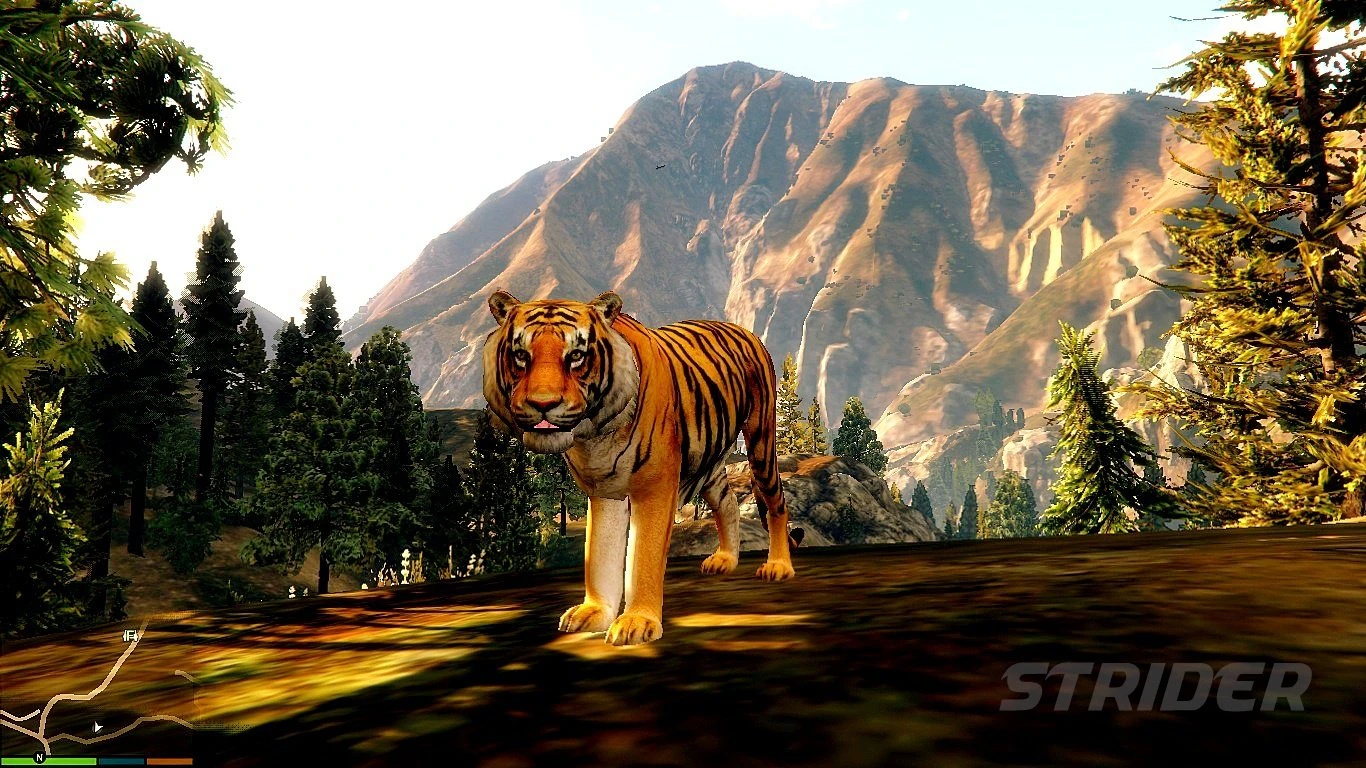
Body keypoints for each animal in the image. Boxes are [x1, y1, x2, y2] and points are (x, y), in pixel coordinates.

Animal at [482, 289, 798, 646]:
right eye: (520, 355)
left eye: (576, 355)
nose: (543, 404)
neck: (594, 435)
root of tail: (743, 329)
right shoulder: (604, 491)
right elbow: (599, 555)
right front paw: (595, 612)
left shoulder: (655, 486)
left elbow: (643, 555)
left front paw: (637, 621)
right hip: (707, 460)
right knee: (728, 501)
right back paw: (725, 559)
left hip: (760, 438)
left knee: (776, 502)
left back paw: (778, 566)